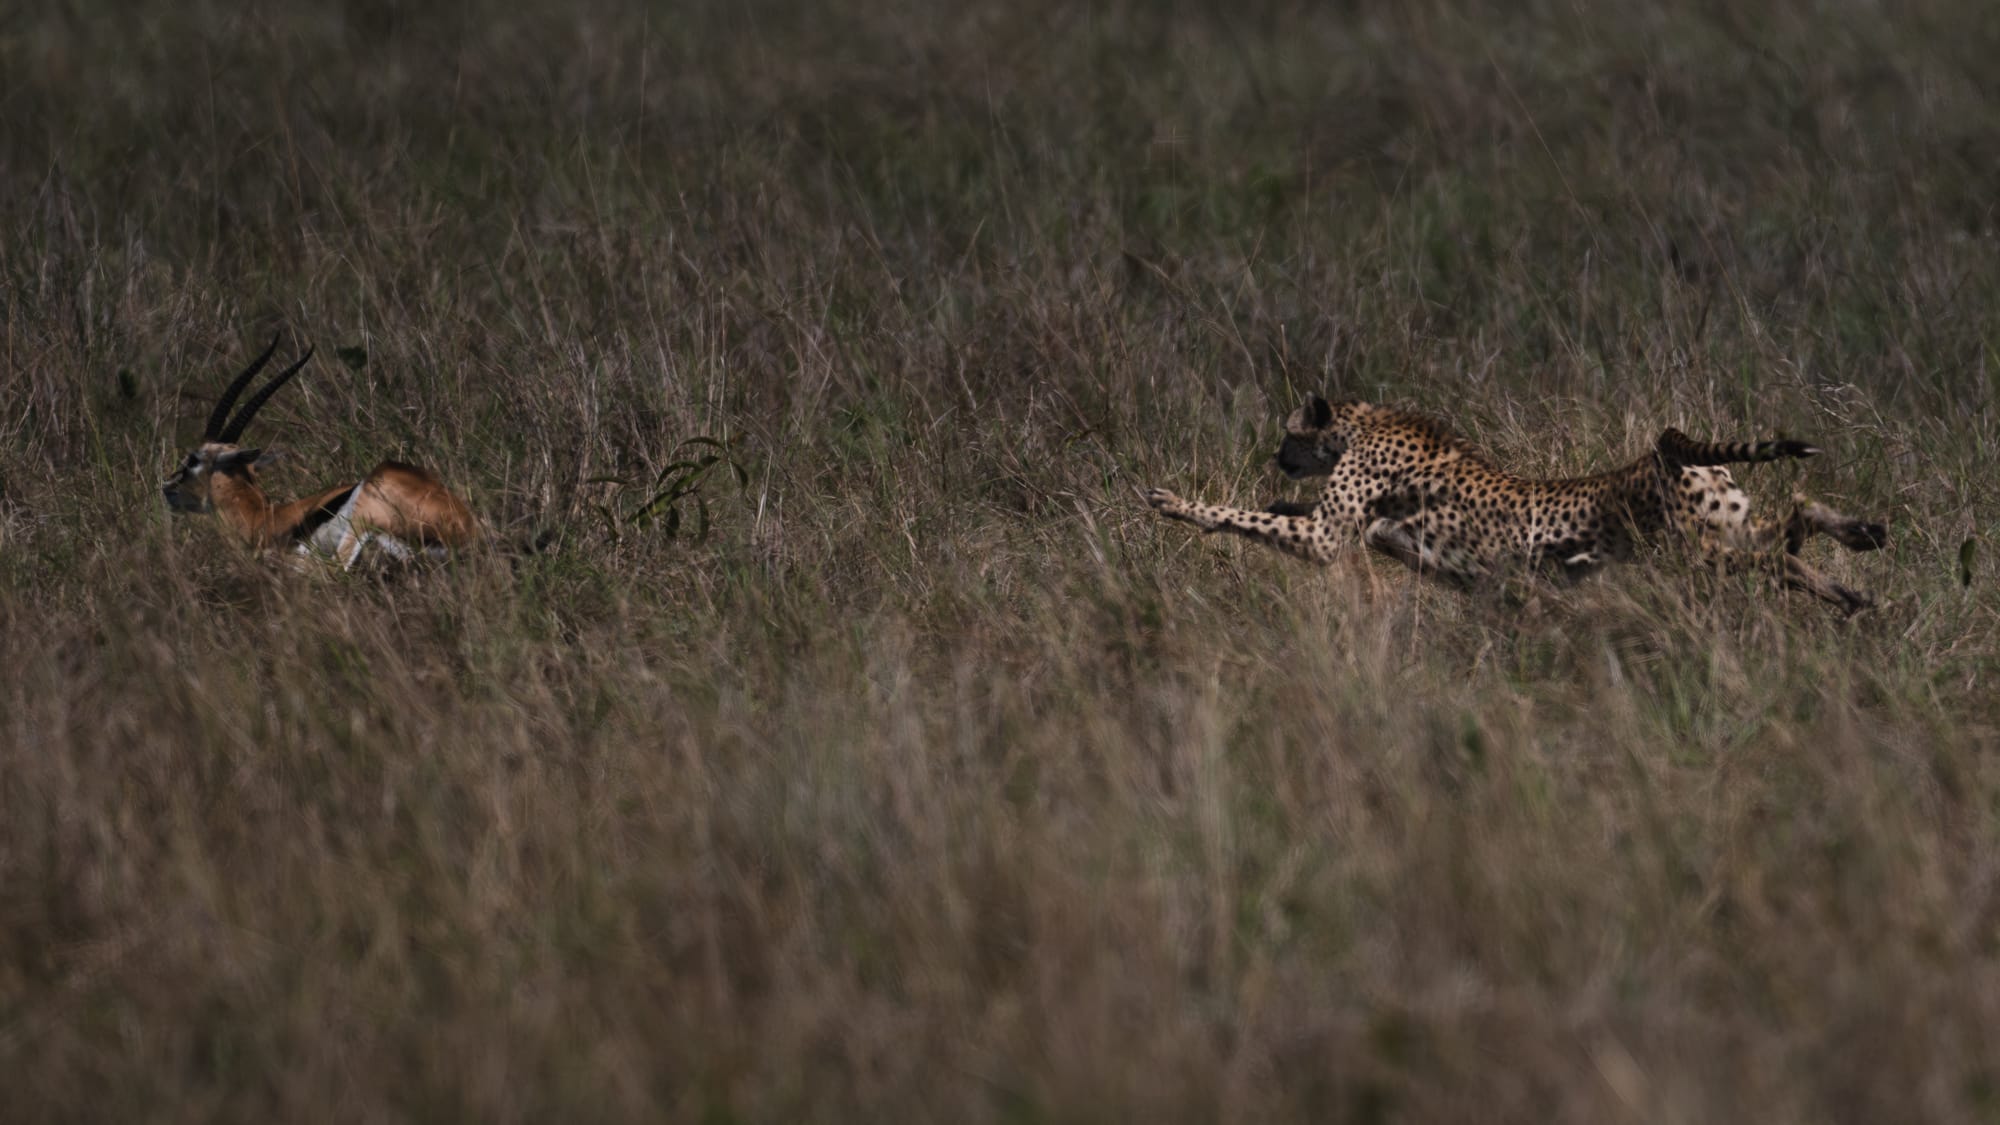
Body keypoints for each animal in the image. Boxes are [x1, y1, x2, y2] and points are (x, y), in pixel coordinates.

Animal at [1145, 394, 1888, 612]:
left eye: (1286, 434)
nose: (1277, 457)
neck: (1361, 421)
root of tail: (1664, 449)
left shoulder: (1332, 536)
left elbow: (1246, 517)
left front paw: (1176, 502)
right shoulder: (1351, 527)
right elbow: (1285, 514)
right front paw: (1273, 496)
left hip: (1701, 553)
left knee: (1791, 526)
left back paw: (1855, 547)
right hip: (1721, 538)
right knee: (1787, 543)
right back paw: (1856, 579)